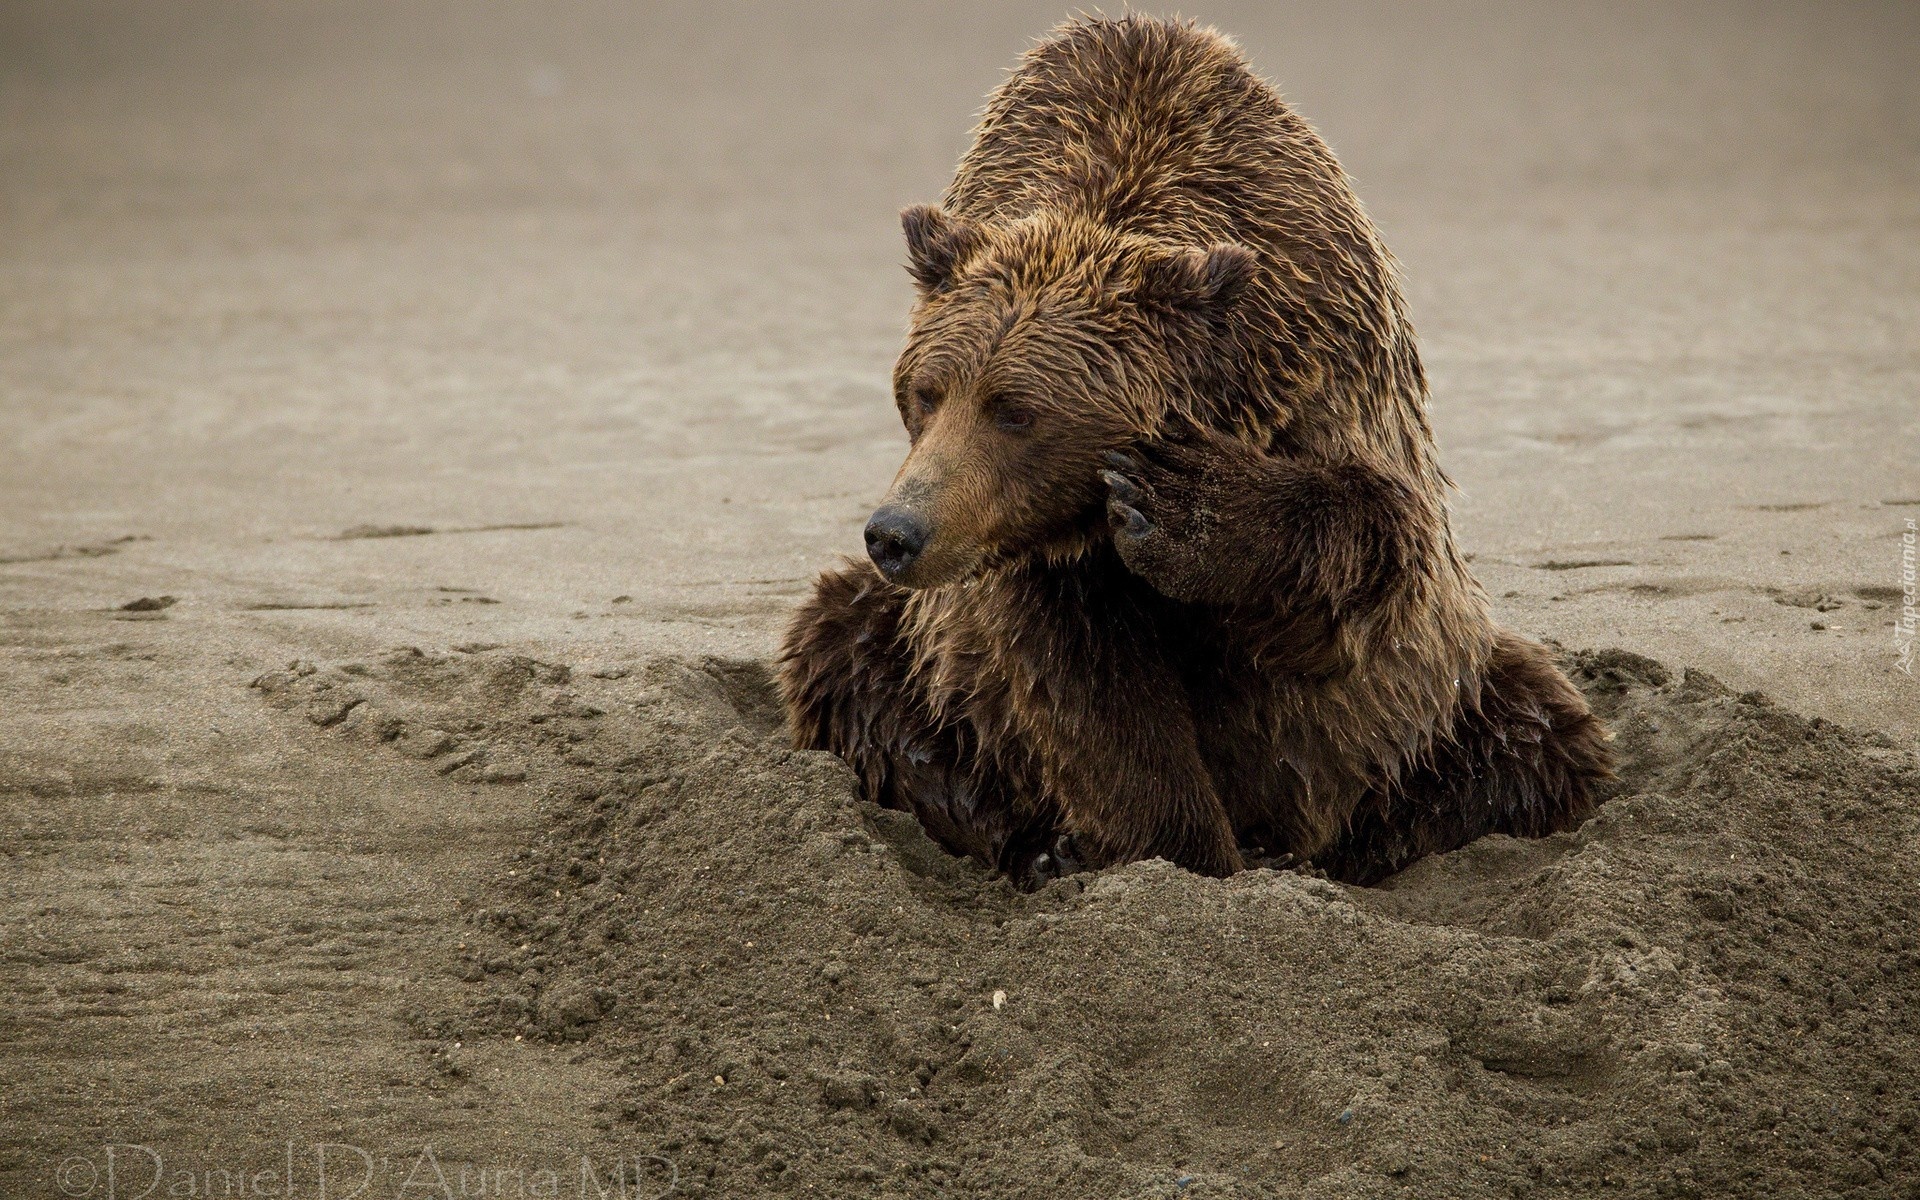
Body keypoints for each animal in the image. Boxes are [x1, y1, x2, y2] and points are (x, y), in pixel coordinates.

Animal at [775, 14, 1605, 883]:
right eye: (926, 392)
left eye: (1015, 411)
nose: (897, 532)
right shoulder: (1042, 560)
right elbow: (1089, 689)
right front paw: (1176, 848)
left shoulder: (1322, 363)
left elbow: (1367, 544)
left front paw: (1181, 507)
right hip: (918, 657)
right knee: (841, 647)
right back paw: (1037, 844)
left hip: (1440, 702)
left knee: (1533, 739)